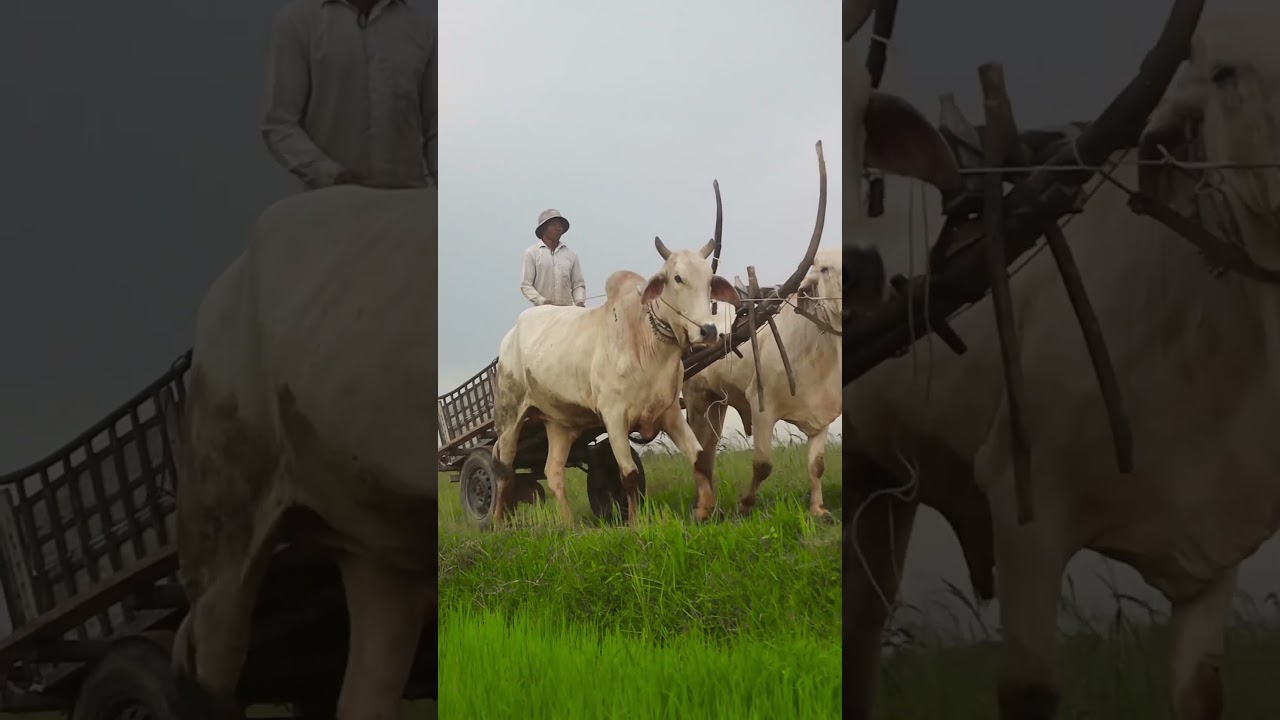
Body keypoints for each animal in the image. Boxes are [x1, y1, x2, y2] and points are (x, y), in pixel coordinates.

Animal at [491, 236, 742, 528]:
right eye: (677, 278)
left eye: (710, 280)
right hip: (509, 419)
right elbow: (629, 475)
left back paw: (569, 525)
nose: (708, 330)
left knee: (553, 472)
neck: (648, 342)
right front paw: (633, 522)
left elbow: (700, 458)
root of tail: (508, 339)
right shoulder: (614, 417)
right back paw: (496, 523)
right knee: (504, 471)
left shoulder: (669, 413)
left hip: (558, 424)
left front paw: (705, 509)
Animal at [844, 7, 1280, 720]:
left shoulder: (1216, 545)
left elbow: (1201, 691)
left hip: (882, 477)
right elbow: (1031, 691)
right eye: (1224, 73)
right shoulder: (1029, 514)